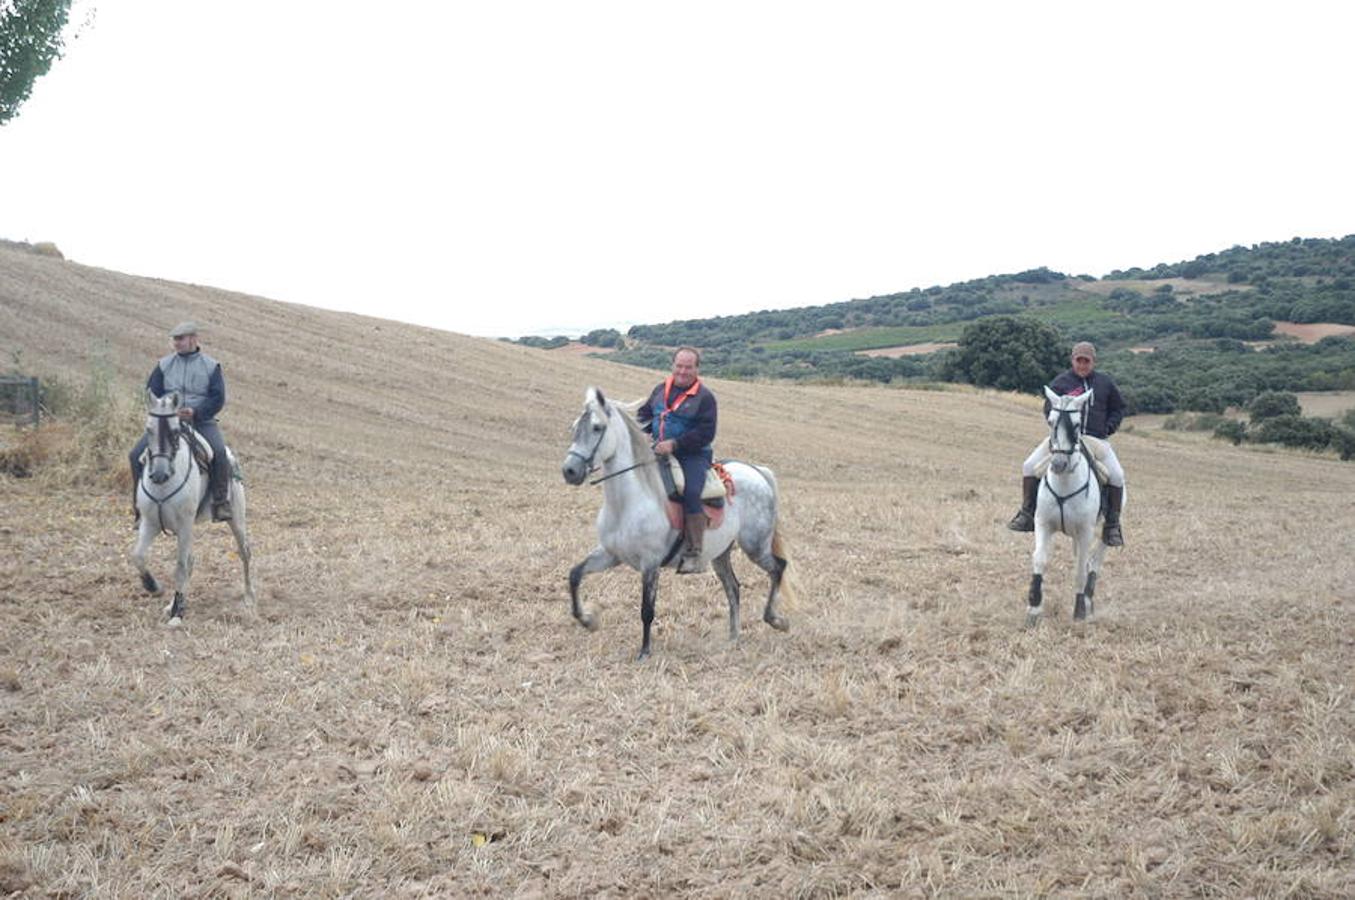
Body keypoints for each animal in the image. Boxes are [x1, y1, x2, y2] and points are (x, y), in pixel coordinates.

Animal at [130, 390, 254, 623]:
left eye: (175, 431)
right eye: (149, 429)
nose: (159, 474)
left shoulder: (185, 524)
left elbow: (180, 567)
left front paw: (177, 613)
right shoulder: (150, 523)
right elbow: (138, 556)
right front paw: (153, 586)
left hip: (236, 520)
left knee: (244, 553)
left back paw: (249, 597)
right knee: (190, 560)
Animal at [560, 387, 791, 661]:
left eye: (597, 427)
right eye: (575, 426)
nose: (570, 471)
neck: (629, 501)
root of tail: (757, 472)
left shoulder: (650, 564)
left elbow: (647, 610)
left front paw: (644, 653)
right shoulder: (610, 554)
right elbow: (575, 575)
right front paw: (588, 620)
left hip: (755, 546)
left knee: (778, 568)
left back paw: (776, 620)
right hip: (721, 554)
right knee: (734, 588)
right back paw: (733, 637)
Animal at [1024, 384, 1121, 626]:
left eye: (1077, 424)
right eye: (1051, 421)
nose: (1058, 464)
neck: (1065, 485)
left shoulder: (1086, 531)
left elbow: (1079, 571)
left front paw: (1079, 611)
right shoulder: (1043, 524)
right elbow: (1040, 560)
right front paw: (1034, 608)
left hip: (1102, 532)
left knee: (1094, 563)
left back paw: (1087, 600)